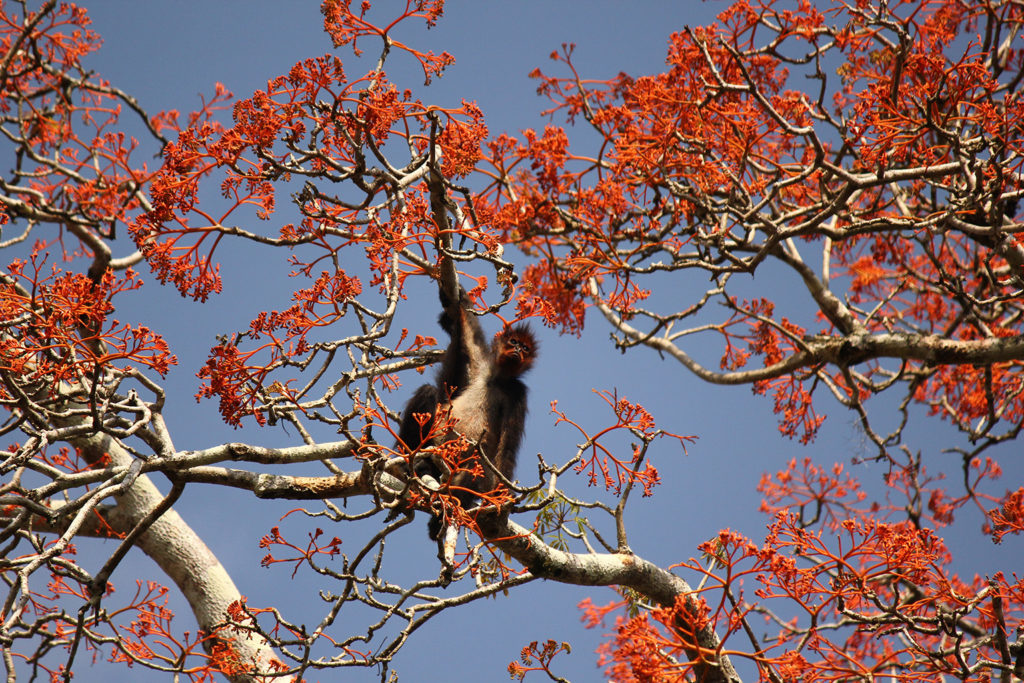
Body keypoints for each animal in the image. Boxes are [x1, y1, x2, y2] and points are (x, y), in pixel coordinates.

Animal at [397, 284, 540, 540]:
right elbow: (466, 325)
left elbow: (507, 449)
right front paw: (457, 297)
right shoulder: (481, 363)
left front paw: (499, 500)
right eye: (513, 342)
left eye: (525, 348)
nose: (518, 350)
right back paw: (410, 461)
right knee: (428, 391)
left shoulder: (518, 393)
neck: (497, 380)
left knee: (478, 465)